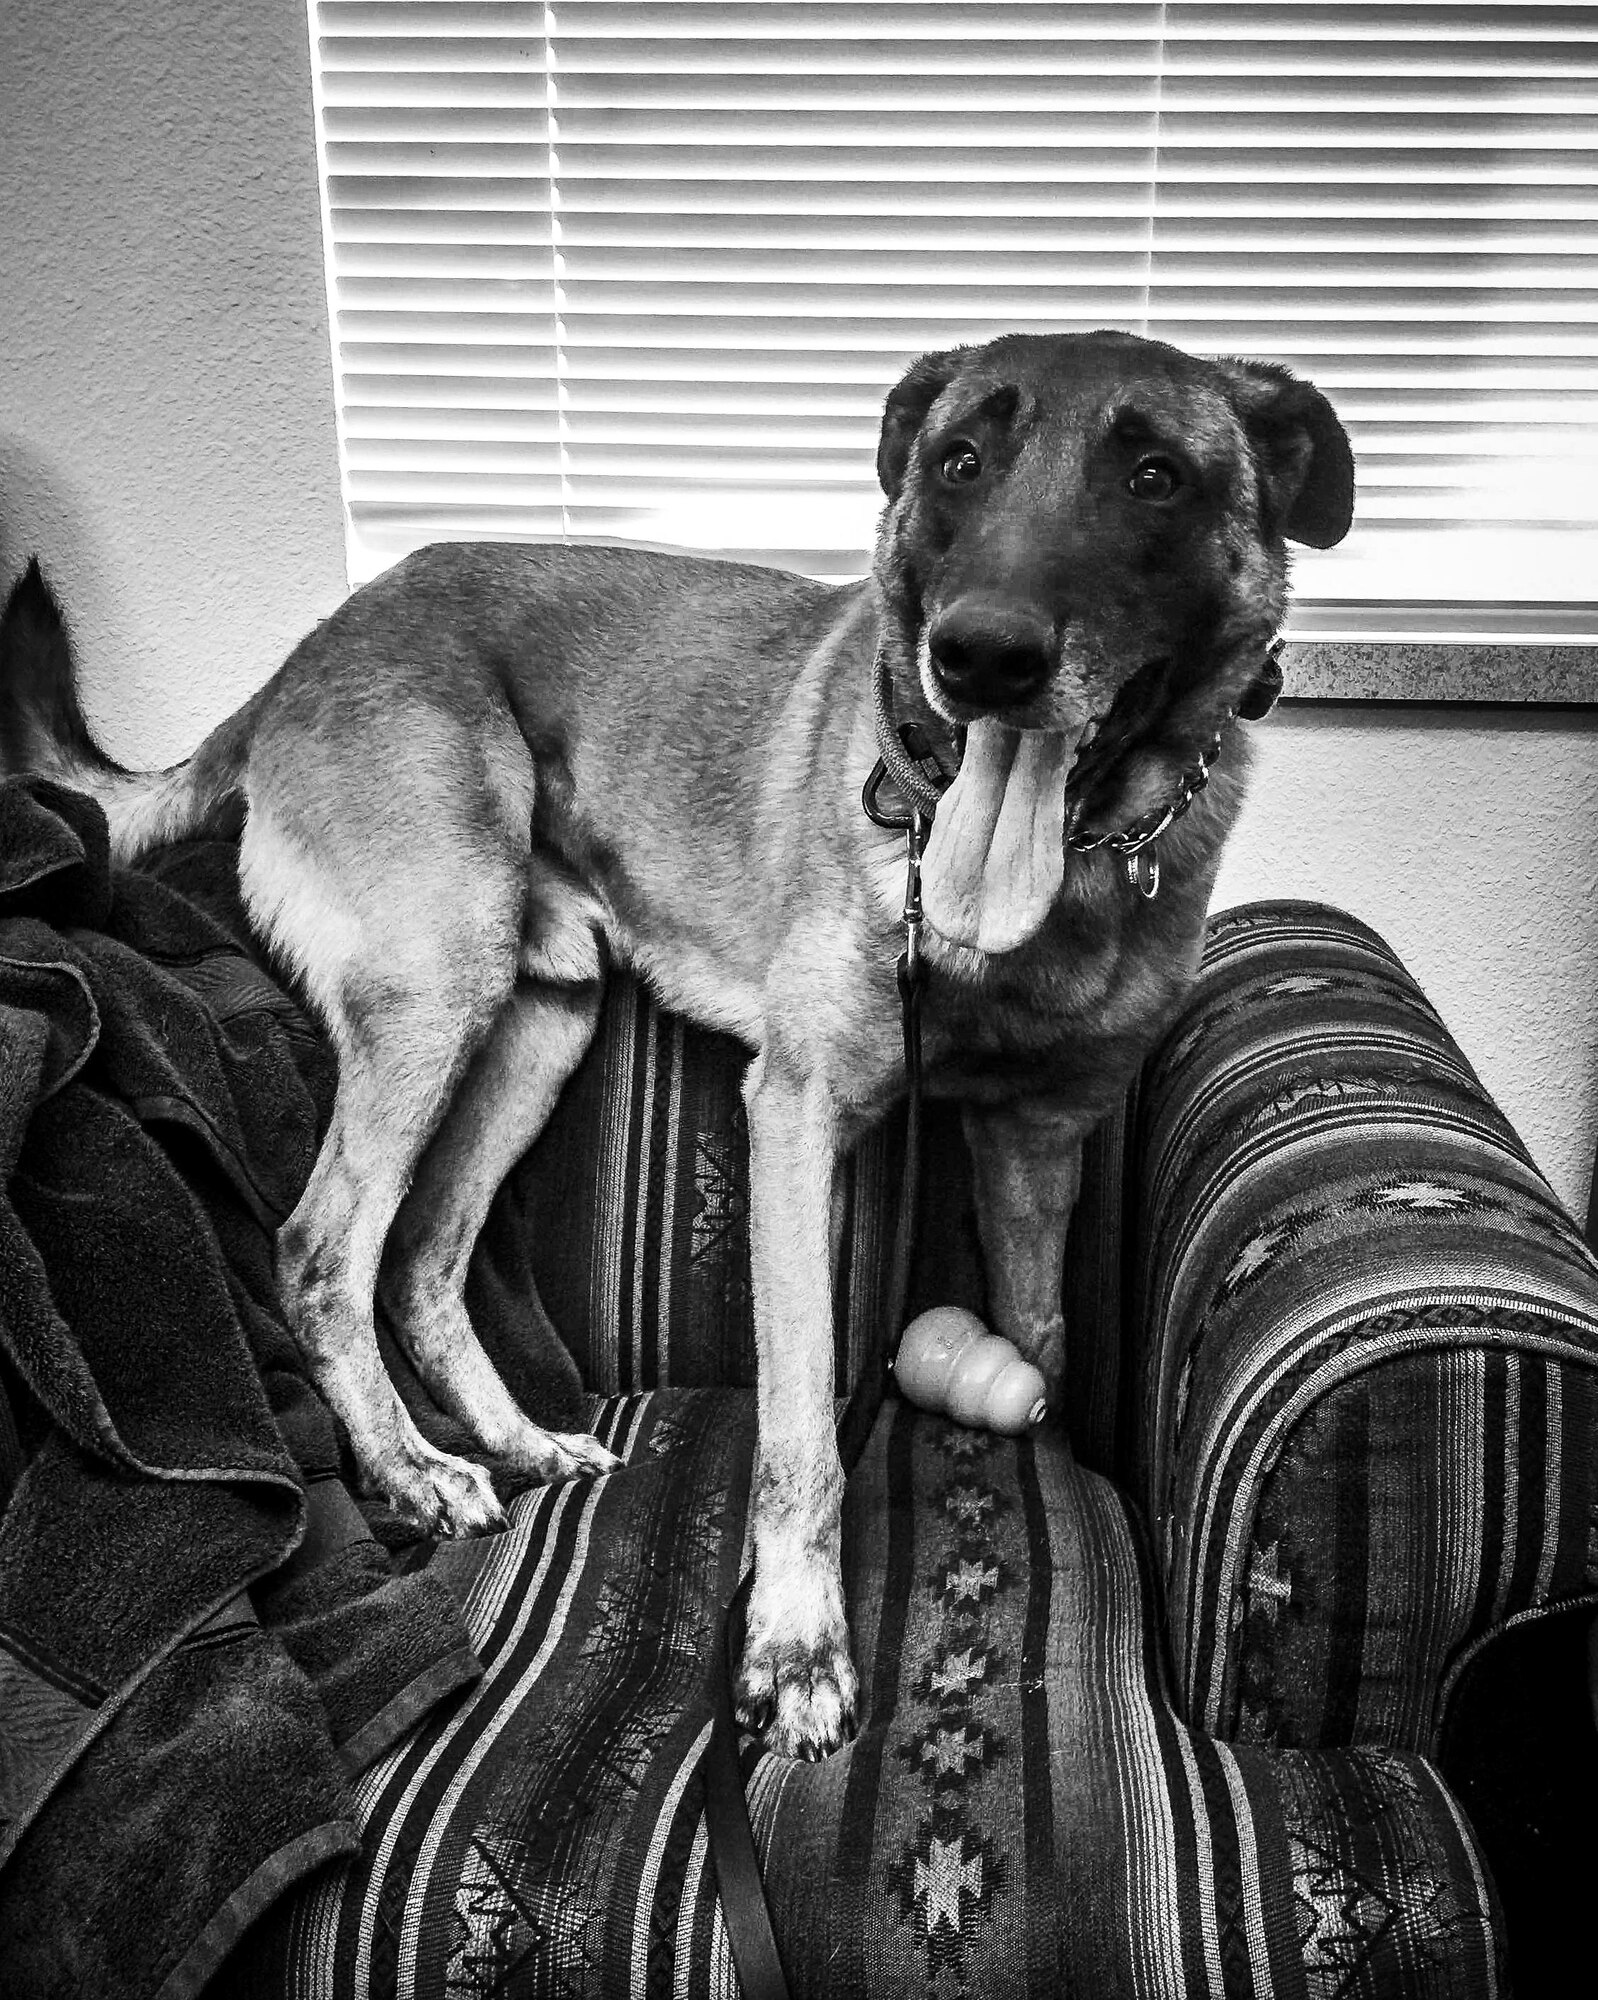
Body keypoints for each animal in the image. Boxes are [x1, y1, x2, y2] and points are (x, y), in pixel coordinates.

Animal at [0, 336, 1352, 1760]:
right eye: (957, 462)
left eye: (1153, 477)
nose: (978, 655)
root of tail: (307, 650)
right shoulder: (795, 1118)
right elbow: (802, 1413)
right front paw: (795, 1644)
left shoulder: (1035, 1139)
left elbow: (1035, 1332)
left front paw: (1014, 1445)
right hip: (437, 982)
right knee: (326, 1248)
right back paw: (416, 1470)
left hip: (534, 1023)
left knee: (421, 1255)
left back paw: (520, 1439)